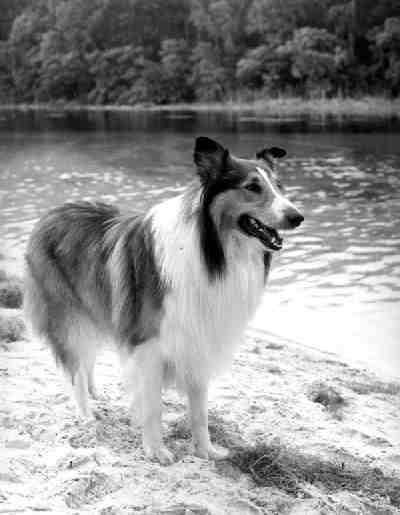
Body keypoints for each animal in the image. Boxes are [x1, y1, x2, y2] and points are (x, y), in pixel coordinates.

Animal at [24, 136, 304, 464]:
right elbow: (153, 406)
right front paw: (156, 450)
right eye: (252, 187)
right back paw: (86, 416)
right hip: (69, 319)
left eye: (279, 186)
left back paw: (96, 395)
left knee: (85, 362)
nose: (298, 217)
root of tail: (51, 212)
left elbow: (199, 410)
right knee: (75, 370)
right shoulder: (149, 345)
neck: (211, 251)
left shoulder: (198, 338)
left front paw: (205, 451)